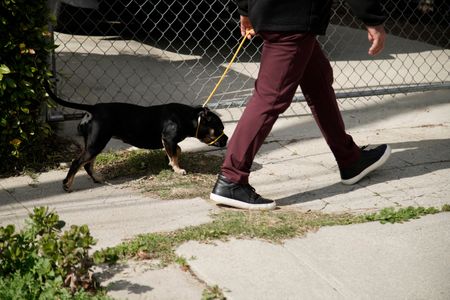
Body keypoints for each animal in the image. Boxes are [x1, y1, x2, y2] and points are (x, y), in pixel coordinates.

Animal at [44, 82, 229, 192]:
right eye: (219, 129)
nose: (227, 139)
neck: (191, 118)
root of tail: (93, 109)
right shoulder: (168, 138)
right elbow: (175, 154)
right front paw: (178, 169)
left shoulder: (169, 141)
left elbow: (176, 150)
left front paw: (171, 163)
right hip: (97, 142)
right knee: (77, 162)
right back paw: (67, 184)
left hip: (94, 143)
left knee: (88, 164)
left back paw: (96, 178)